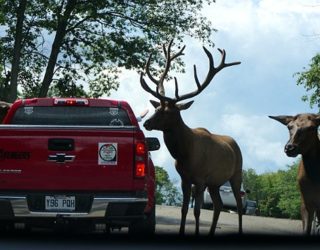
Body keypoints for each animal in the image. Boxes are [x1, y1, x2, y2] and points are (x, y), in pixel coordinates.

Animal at [140, 40, 242, 235]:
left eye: (169, 112)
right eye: (157, 108)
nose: (147, 123)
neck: (186, 154)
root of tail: (235, 143)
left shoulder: (200, 179)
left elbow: (197, 211)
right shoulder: (185, 179)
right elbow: (184, 208)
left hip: (236, 173)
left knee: (239, 205)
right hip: (215, 183)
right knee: (218, 205)